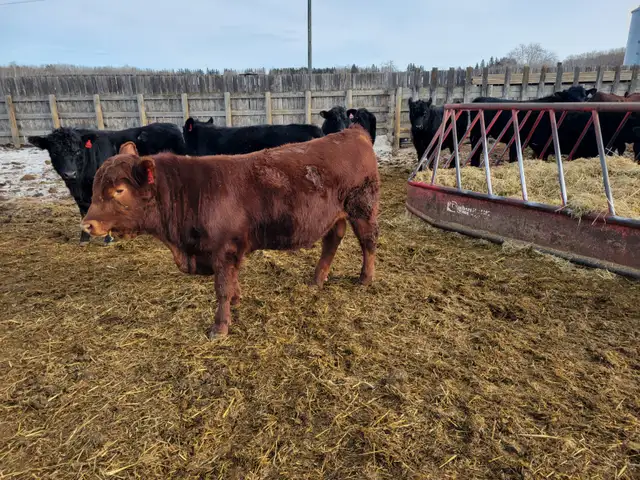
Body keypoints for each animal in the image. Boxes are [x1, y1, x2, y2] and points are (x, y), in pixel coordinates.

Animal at [28, 123, 186, 245]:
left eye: (78, 151)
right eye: (54, 152)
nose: (70, 174)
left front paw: (108, 238)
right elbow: (83, 212)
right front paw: (84, 239)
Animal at [81, 125, 380, 338]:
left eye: (119, 190)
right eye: (96, 186)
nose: (87, 224)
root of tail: (353, 132)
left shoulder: (224, 249)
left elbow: (222, 287)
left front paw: (220, 327)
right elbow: (232, 281)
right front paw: (236, 300)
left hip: (362, 208)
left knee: (368, 242)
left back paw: (365, 279)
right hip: (335, 215)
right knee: (332, 240)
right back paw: (317, 279)